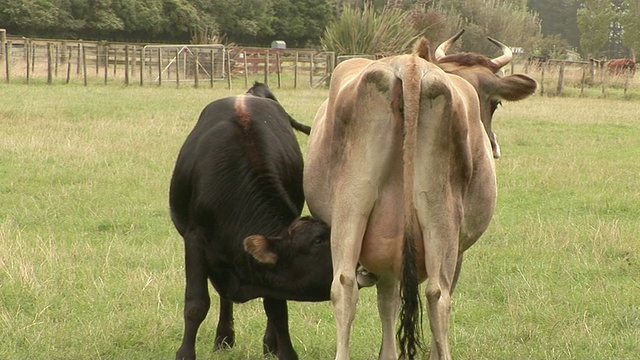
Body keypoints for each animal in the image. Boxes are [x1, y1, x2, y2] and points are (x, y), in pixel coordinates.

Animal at [302, 32, 536, 358]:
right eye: (496, 104)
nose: (492, 145)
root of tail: (409, 66)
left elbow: (386, 301)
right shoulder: (458, 250)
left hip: (354, 206)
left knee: (345, 286)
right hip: (440, 220)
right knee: (440, 295)